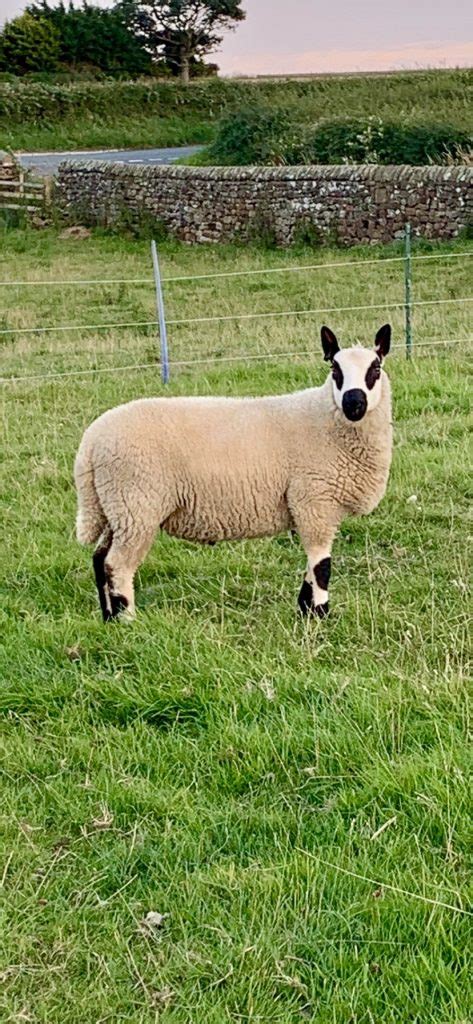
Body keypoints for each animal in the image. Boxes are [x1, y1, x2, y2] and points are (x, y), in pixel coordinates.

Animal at [73, 323, 391, 618]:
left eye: (375, 368)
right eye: (335, 369)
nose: (353, 403)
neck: (323, 418)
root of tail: (90, 444)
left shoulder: (314, 505)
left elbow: (313, 568)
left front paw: (305, 609)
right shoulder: (314, 501)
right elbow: (322, 565)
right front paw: (320, 614)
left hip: (117, 507)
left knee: (100, 558)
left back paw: (107, 617)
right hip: (137, 505)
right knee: (118, 565)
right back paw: (127, 619)